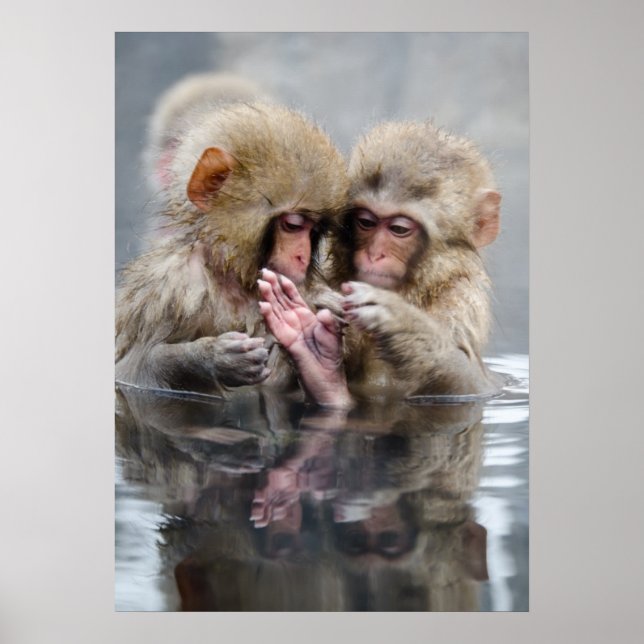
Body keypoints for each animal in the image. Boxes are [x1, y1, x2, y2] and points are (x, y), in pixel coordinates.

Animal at [116, 92, 348, 396]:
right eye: (293, 225)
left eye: (315, 230)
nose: (302, 257)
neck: (231, 276)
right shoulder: (171, 289)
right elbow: (133, 373)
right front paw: (209, 358)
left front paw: (314, 350)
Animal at [258, 120, 501, 402]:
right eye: (366, 222)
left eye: (399, 229)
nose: (374, 254)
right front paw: (312, 353)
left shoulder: (462, 301)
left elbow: (474, 389)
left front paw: (404, 324)